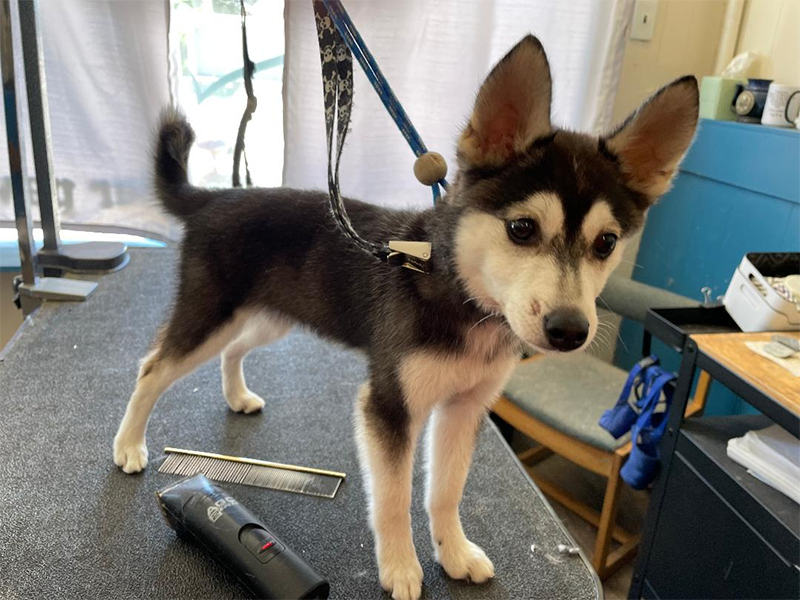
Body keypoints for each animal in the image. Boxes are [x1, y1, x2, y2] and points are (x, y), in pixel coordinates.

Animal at [114, 37, 700, 600]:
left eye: (607, 243)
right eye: (522, 229)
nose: (569, 330)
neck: (464, 297)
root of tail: (211, 198)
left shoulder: (465, 408)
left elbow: (445, 491)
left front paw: (454, 552)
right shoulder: (388, 405)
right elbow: (393, 498)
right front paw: (400, 567)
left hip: (267, 314)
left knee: (233, 350)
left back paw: (237, 396)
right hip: (211, 313)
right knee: (151, 367)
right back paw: (128, 446)